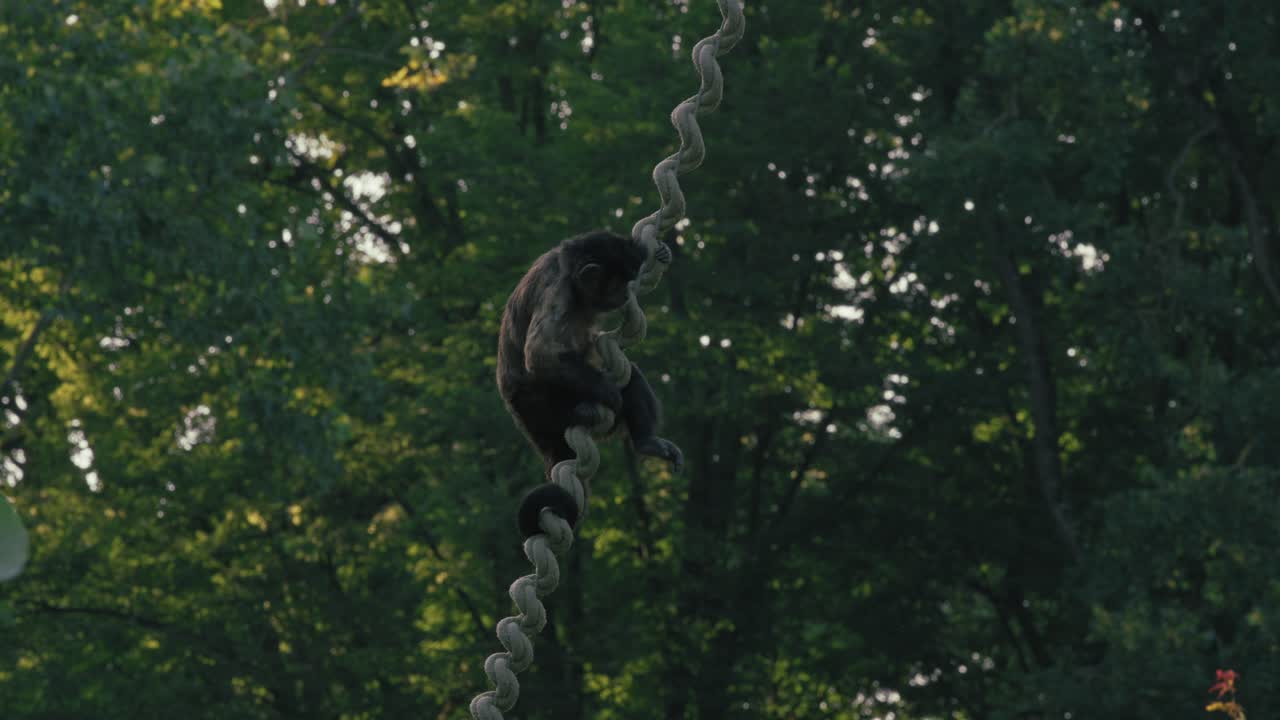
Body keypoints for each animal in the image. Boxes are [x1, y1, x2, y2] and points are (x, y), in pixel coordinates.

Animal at [497, 230, 684, 537]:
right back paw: (586, 410)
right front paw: (609, 392)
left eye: (629, 281)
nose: (625, 293)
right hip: (538, 408)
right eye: (617, 283)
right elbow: (541, 354)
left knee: (630, 375)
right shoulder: (558, 291)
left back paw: (646, 442)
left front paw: (661, 252)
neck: (568, 271)